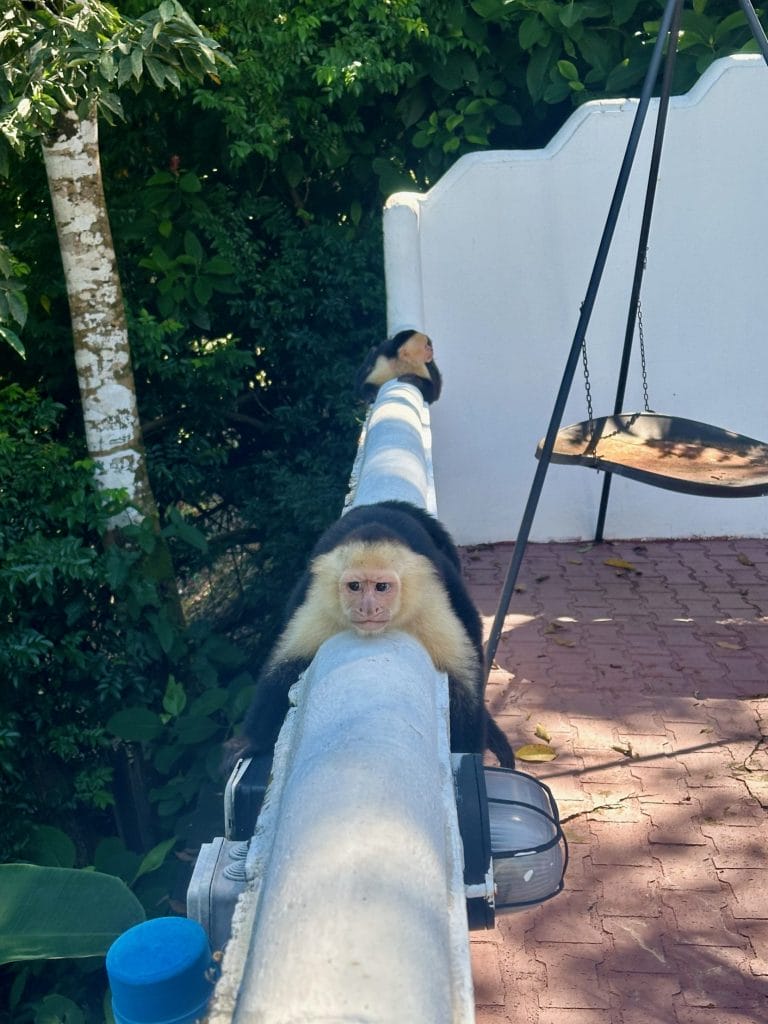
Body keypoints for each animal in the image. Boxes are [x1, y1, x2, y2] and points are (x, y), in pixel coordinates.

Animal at [228, 499, 518, 770]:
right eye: (355, 586)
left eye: (381, 587)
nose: (368, 608)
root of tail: (378, 507)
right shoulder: (321, 607)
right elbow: (283, 668)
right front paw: (250, 742)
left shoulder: (428, 609)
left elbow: (464, 687)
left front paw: (465, 754)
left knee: (467, 615)